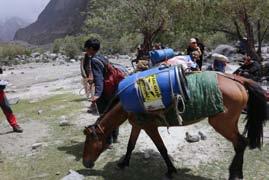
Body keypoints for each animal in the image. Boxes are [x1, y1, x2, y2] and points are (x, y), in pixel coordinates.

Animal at [81, 73, 266, 180]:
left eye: (89, 141)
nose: (85, 163)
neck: (126, 106)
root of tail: (239, 81)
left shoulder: (150, 127)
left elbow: (161, 148)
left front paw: (170, 170)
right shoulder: (138, 125)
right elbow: (130, 145)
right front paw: (123, 163)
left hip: (222, 123)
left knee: (240, 143)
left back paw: (234, 174)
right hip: (230, 122)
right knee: (240, 143)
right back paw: (236, 172)